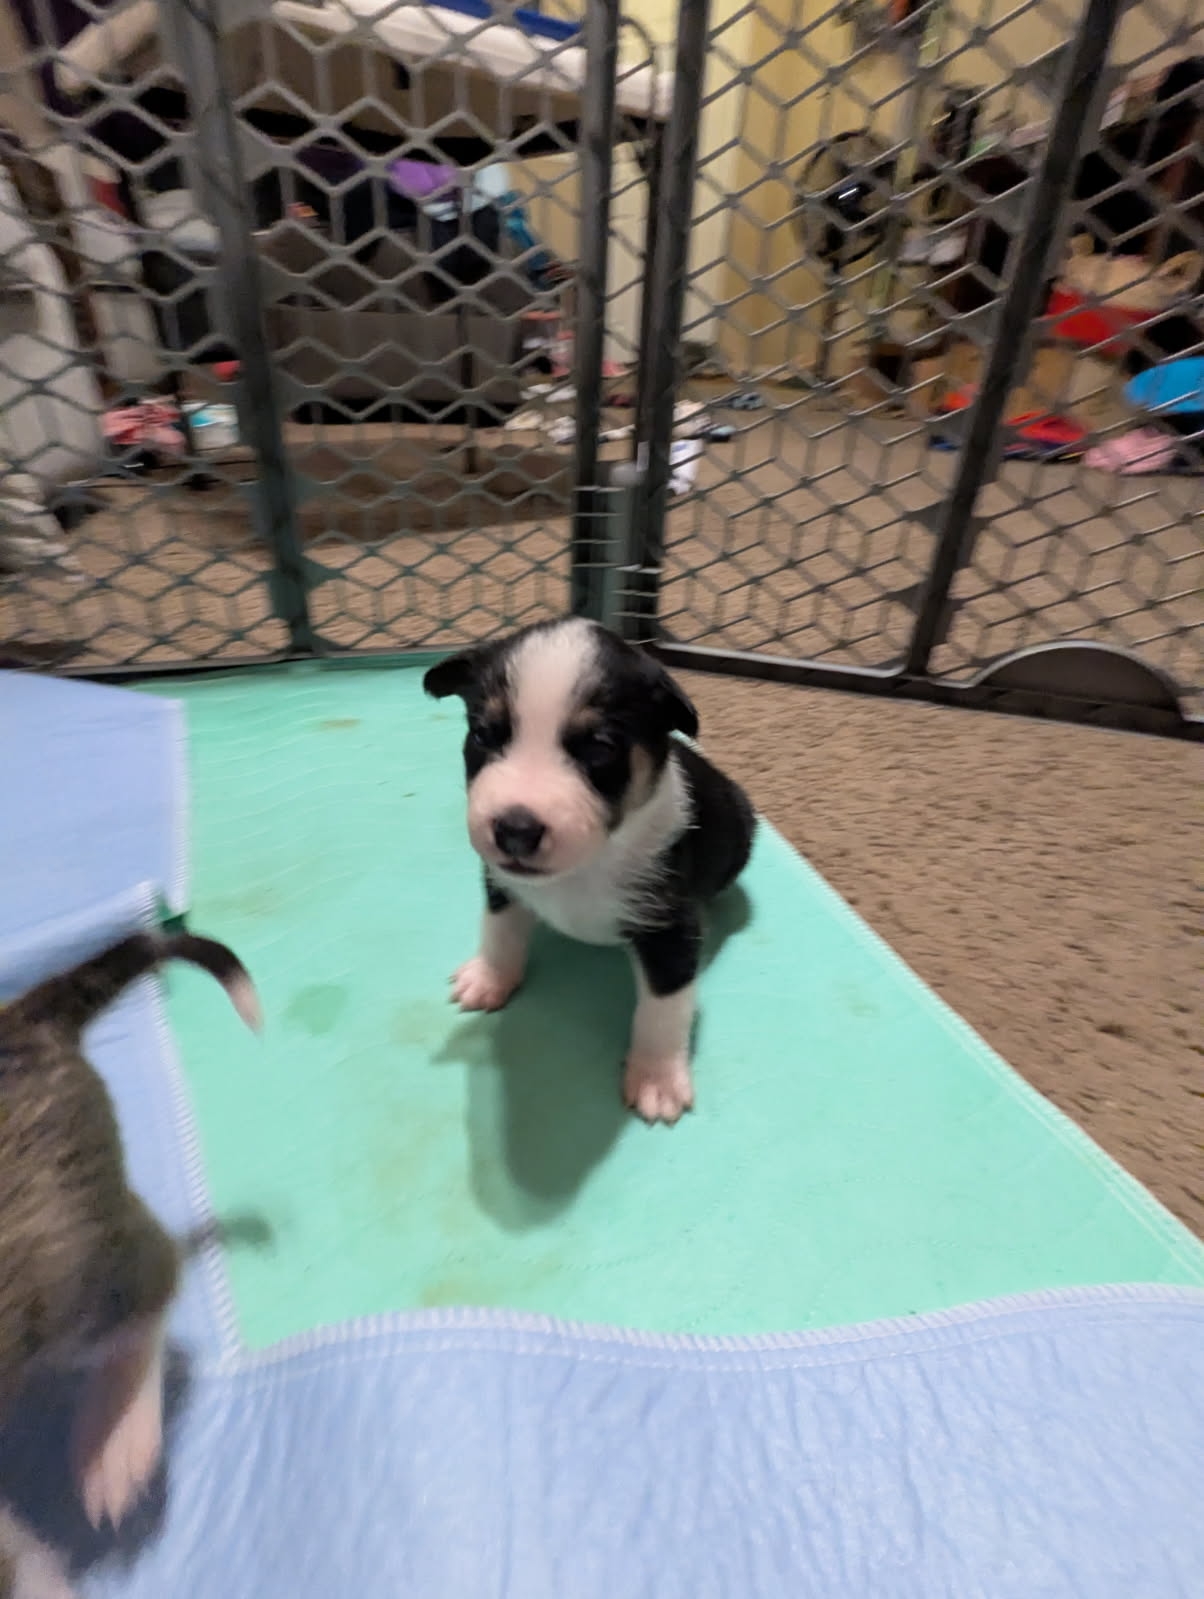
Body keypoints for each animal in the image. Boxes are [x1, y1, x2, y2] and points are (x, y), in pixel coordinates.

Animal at [424, 618, 755, 1124]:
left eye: (599, 748)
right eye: (483, 735)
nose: (515, 831)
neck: (587, 866)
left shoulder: (668, 925)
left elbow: (664, 1007)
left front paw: (657, 1079)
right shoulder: (501, 882)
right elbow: (499, 931)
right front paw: (490, 979)